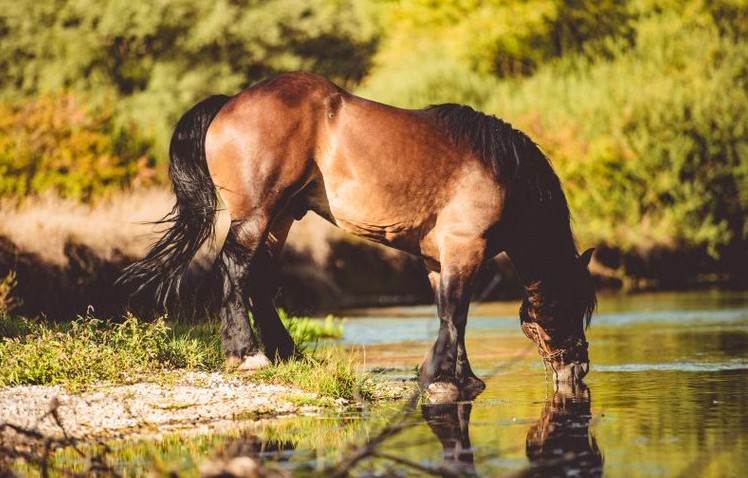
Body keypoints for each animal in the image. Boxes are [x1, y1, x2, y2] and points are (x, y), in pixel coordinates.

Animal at [121, 72, 596, 400]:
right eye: (574, 304)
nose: (579, 368)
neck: (501, 172)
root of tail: (229, 103)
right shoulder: (464, 248)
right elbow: (456, 312)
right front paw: (443, 379)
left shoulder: (437, 259)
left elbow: (449, 313)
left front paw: (460, 377)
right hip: (259, 213)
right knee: (235, 266)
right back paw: (246, 354)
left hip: (281, 218)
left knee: (258, 278)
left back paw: (288, 353)